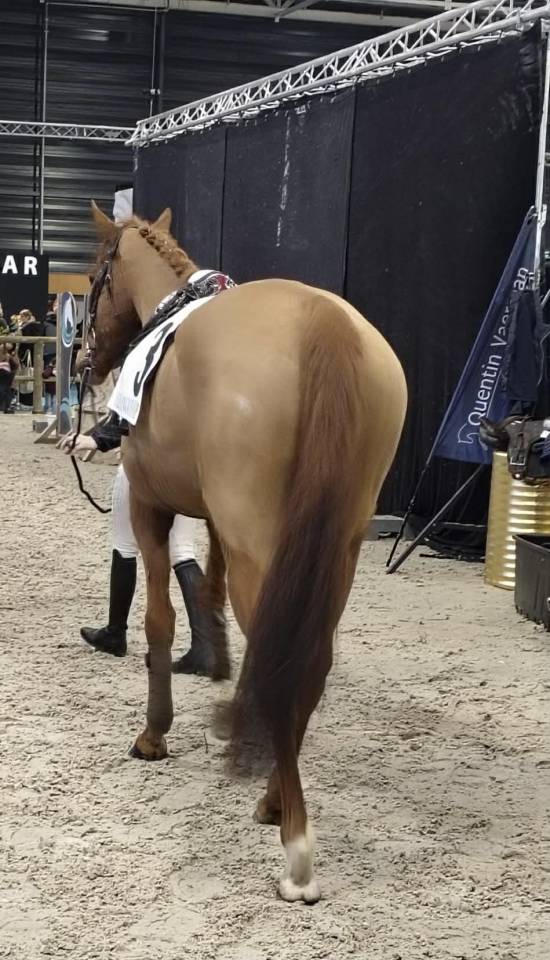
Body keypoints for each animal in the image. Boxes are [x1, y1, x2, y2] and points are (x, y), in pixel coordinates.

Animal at [86, 201, 407, 903]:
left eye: (96, 276)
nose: (90, 358)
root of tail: (322, 322)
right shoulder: (214, 523)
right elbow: (205, 587)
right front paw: (211, 660)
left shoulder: (150, 509)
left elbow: (158, 619)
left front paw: (153, 735)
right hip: (338, 548)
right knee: (310, 657)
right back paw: (274, 801)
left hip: (263, 543)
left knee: (280, 651)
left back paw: (296, 849)